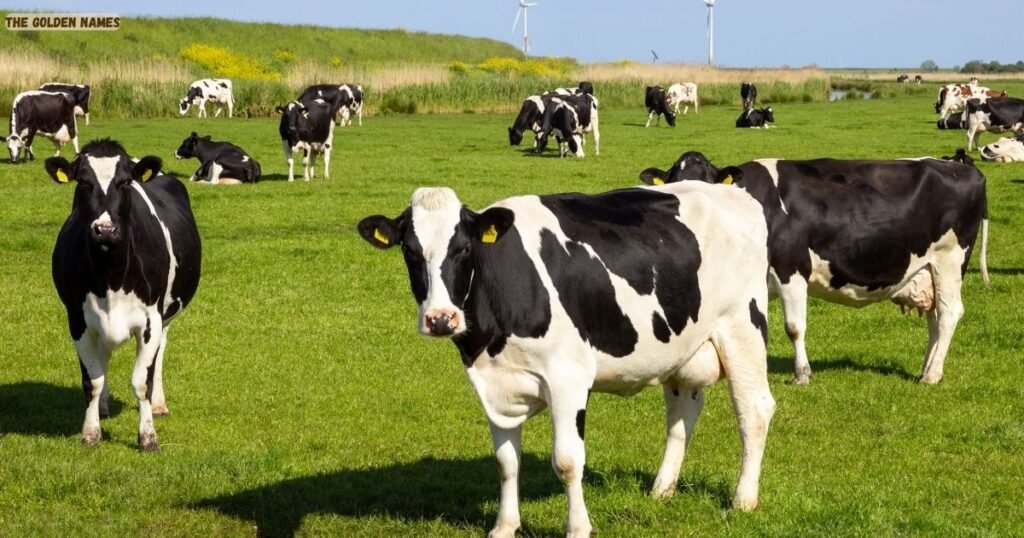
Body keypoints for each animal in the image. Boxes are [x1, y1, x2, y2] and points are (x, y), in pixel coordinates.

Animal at [45, 139, 201, 451]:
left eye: (125, 182)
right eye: (83, 182)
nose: (105, 229)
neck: (111, 277)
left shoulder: (151, 320)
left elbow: (142, 382)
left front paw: (148, 436)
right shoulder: (77, 320)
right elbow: (92, 381)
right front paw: (91, 432)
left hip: (165, 316)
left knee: (160, 354)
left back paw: (159, 405)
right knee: (103, 357)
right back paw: (104, 407)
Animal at [357, 183, 775, 537]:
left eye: (463, 249)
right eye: (410, 251)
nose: (441, 319)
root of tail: (731, 192)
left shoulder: (567, 378)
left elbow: (568, 461)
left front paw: (578, 528)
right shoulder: (495, 383)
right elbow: (506, 461)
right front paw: (504, 526)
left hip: (742, 326)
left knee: (754, 409)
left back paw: (743, 499)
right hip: (680, 347)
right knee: (681, 414)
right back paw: (661, 490)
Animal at [639, 151, 989, 385]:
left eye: (708, 185)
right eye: (672, 183)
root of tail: (959, 165)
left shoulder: (791, 267)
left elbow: (794, 327)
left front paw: (802, 374)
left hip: (951, 259)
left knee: (949, 313)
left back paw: (931, 374)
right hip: (928, 268)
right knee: (934, 317)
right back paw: (928, 367)